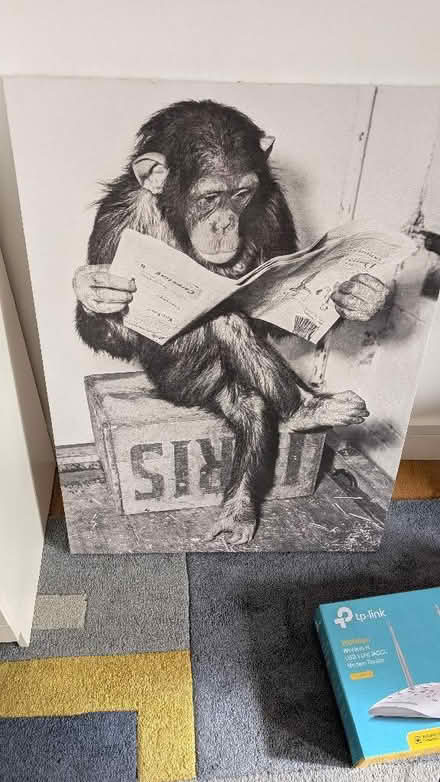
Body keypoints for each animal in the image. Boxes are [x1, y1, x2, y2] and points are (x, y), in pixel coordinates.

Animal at [73, 100, 390, 546]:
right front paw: (96, 292)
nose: (224, 222)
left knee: (252, 406)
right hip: (186, 383)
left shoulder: (273, 205)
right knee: (226, 332)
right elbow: (118, 333)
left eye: (241, 195)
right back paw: (302, 412)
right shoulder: (115, 222)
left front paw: (359, 295)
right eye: (210, 197)